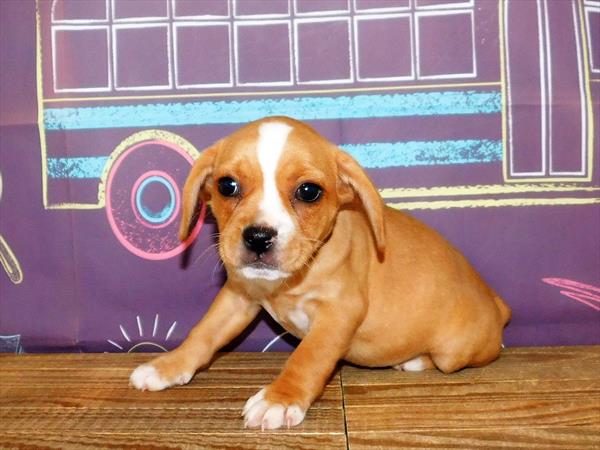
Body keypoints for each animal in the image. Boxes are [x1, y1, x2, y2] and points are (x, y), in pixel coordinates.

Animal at [131, 116, 510, 428]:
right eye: (227, 186)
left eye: (308, 191)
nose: (258, 236)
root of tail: (496, 302)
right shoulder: (239, 297)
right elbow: (203, 334)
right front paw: (168, 366)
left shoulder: (338, 314)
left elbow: (307, 358)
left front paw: (280, 399)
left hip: (455, 352)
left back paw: (416, 361)